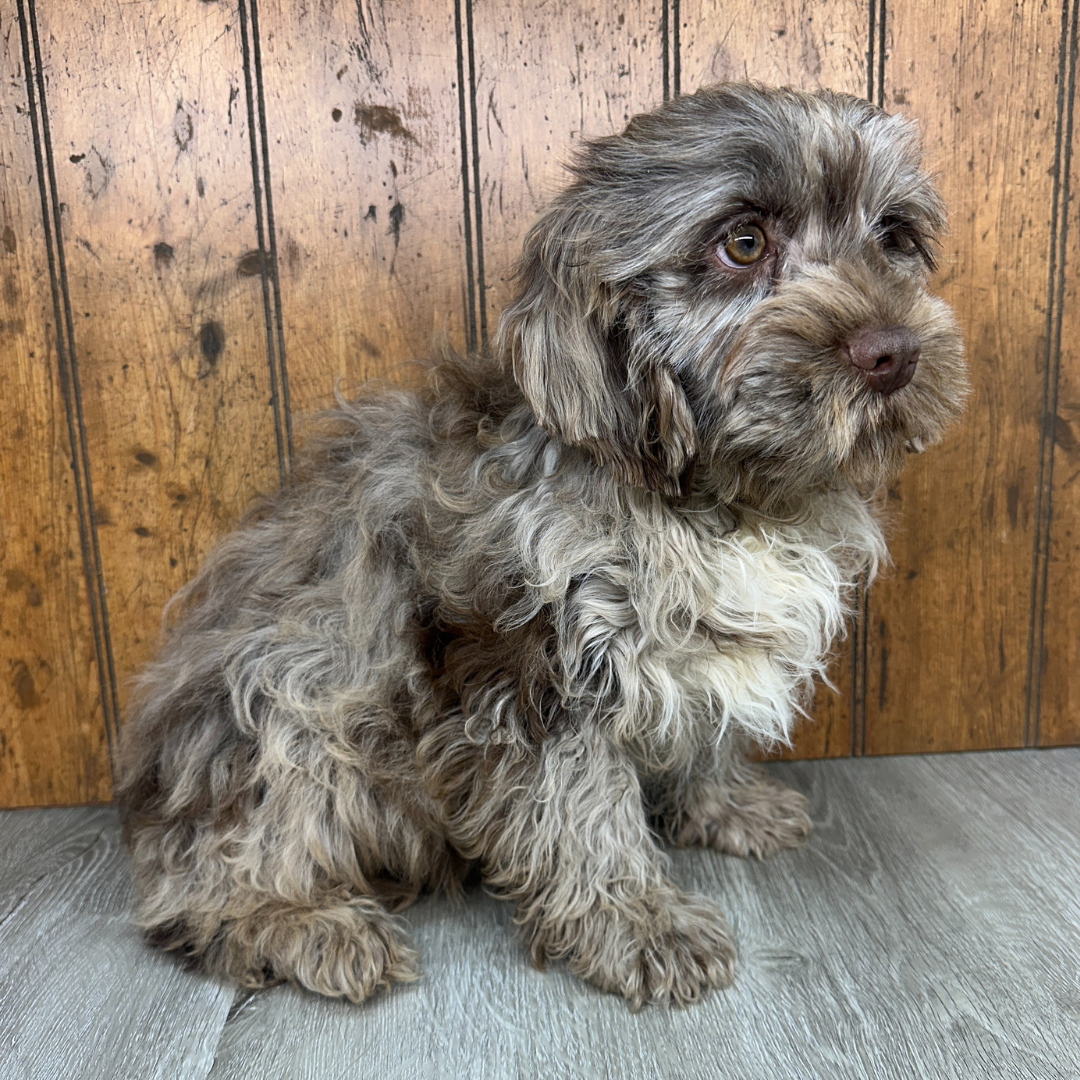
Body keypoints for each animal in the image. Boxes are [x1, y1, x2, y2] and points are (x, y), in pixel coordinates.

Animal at [118, 82, 972, 1002]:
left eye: (895, 236)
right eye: (743, 242)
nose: (894, 353)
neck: (713, 496)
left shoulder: (702, 643)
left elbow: (704, 734)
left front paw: (725, 804)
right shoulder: (536, 670)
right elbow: (581, 807)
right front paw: (636, 919)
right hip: (290, 696)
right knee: (202, 878)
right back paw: (303, 923)